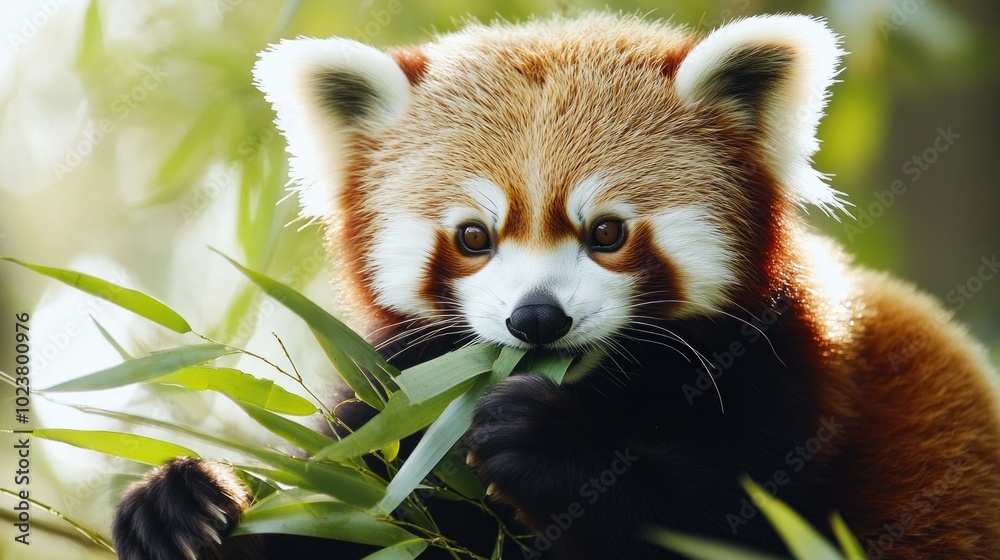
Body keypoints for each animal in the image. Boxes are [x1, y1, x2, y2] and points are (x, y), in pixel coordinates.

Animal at [111, 12, 1000, 560]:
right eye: (473, 238)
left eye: (605, 233)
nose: (537, 320)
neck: (603, 387)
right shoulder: (402, 408)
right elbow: (354, 507)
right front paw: (182, 505)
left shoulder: (792, 386)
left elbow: (716, 521)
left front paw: (549, 444)